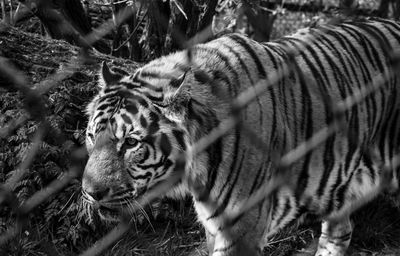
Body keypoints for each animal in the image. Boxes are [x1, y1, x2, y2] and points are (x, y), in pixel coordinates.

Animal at [80, 18, 400, 256]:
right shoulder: (213, 226)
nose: (91, 193)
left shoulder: (243, 228)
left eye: (131, 143)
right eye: (92, 136)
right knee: (340, 232)